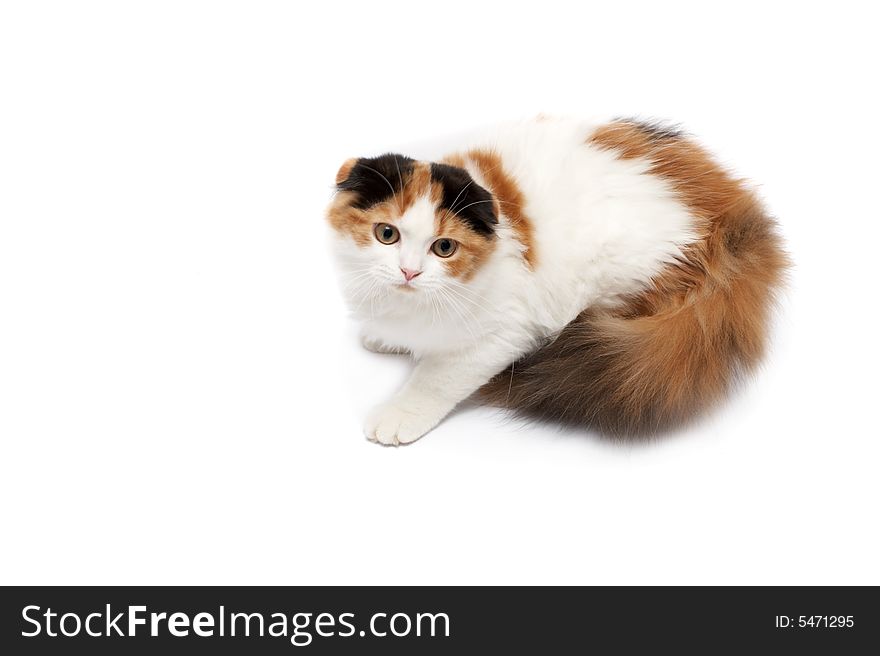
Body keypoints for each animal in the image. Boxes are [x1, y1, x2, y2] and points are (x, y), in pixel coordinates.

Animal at [326, 116, 788, 446]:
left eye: (444, 248)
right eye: (387, 234)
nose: (409, 271)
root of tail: (733, 215)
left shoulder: (505, 330)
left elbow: (436, 378)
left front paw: (400, 413)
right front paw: (386, 337)